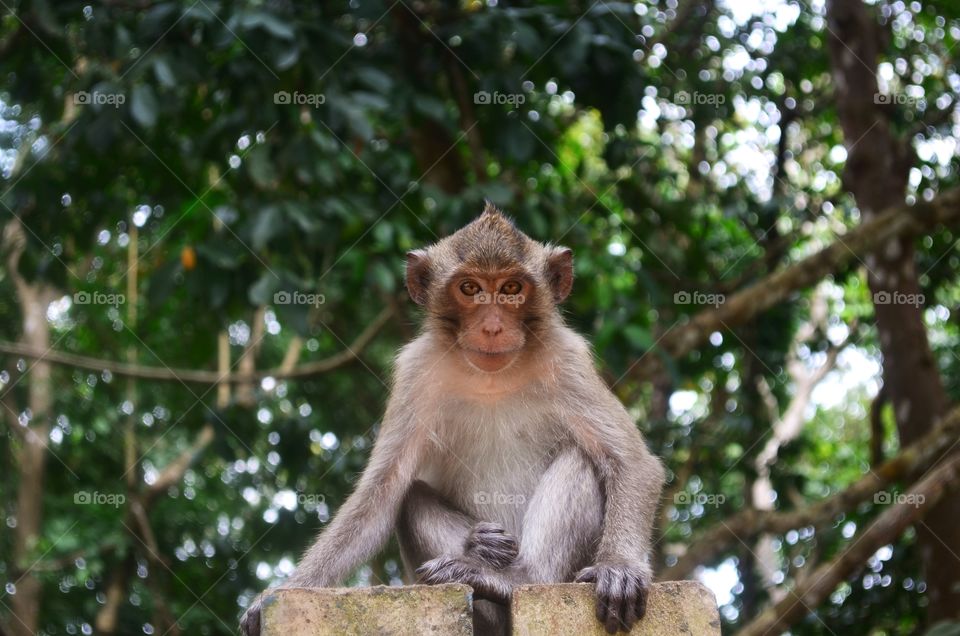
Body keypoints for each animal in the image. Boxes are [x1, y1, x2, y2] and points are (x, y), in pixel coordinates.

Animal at [240, 204, 665, 635]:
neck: (492, 377)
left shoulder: (567, 360)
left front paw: (619, 567)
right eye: (470, 288)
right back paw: (481, 561)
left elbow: (632, 463)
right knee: (410, 496)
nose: (492, 326)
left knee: (581, 458)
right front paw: (287, 589)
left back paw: (515, 578)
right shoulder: (416, 371)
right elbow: (381, 494)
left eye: (512, 288)